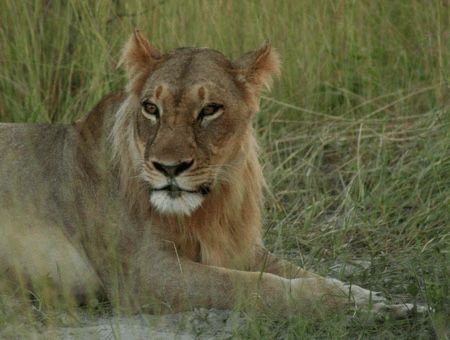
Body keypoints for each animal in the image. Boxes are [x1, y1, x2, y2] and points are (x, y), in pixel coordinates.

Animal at [0, 31, 422, 318]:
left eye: (209, 110)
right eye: (151, 108)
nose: (169, 168)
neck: (205, 208)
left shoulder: (239, 247)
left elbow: (297, 271)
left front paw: (375, 299)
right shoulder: (141, 275)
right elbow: (248, 285)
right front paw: (338, 302)